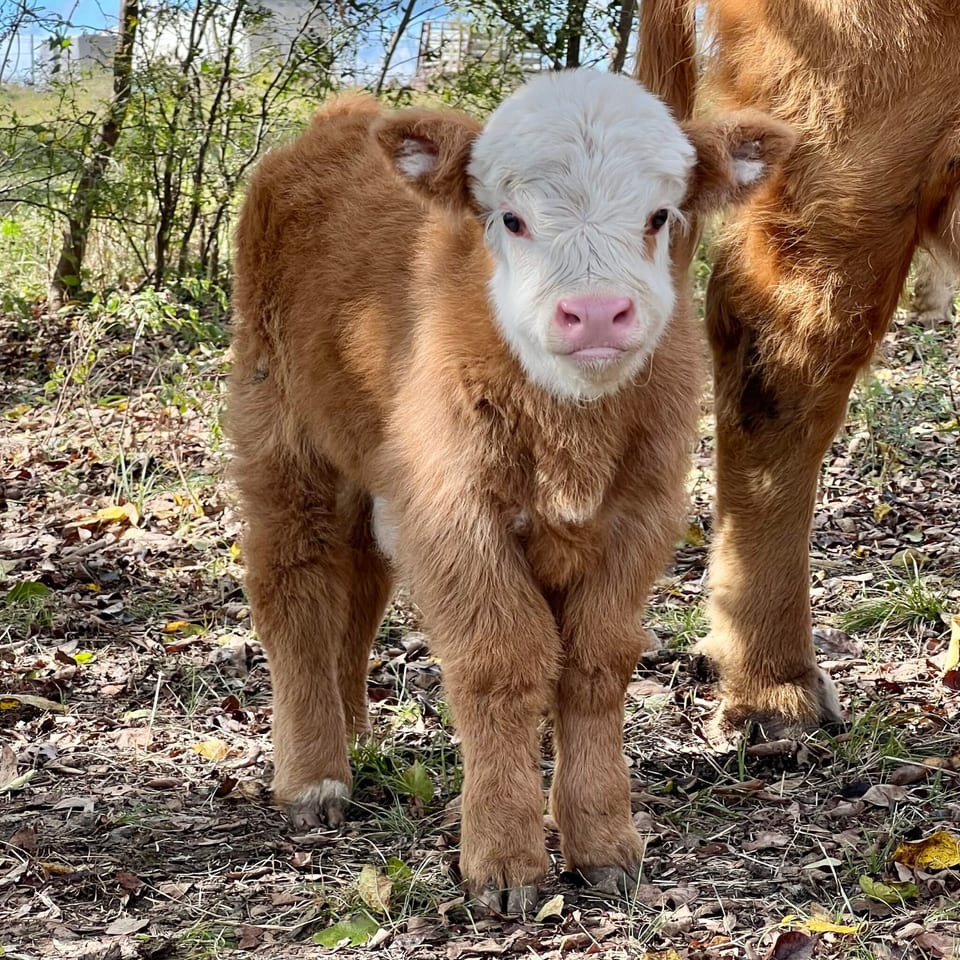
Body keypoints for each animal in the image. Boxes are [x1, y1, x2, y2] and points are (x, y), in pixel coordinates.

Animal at [227, 68, 792, 912]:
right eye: (513, 220)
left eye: (660, 215)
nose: (596, 312)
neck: (571, 437)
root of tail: (335, 122)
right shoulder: (456, 514)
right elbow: (503, 661)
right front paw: (503, 860)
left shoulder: (640, 517)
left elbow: (596, 664)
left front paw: (603, 843)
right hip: (280, 429)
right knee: (292, 583)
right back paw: (313, 775)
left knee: (359, 581)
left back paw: (350, 728)